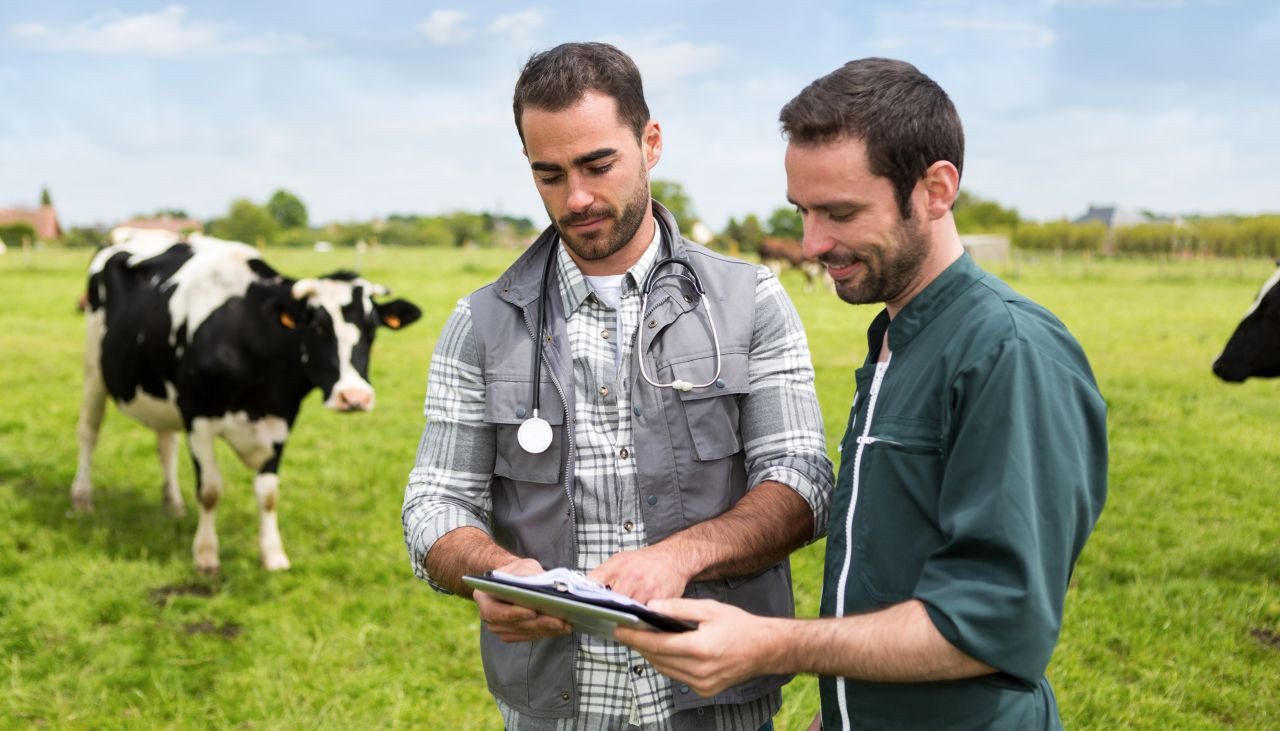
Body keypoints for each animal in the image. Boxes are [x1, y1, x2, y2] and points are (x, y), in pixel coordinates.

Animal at [72, 231, 422, 576]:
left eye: (372, 329)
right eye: (318, 327)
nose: (354, 397)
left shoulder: (280, 420)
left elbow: (268, 494)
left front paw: (273, 555)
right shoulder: (197, 416)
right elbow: (210, 490)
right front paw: (206, 555)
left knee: (165, 445)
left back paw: (173, 504)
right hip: (93, 369)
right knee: (89, 431)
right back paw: (82, 498)